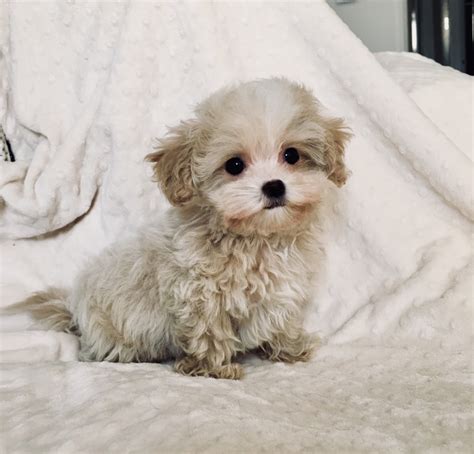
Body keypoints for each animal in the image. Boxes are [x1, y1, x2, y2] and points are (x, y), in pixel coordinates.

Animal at [12, 79, 350, 380]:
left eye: (291, 155)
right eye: (235, 165)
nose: (274, 186)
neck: (255, 239)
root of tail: (75, 309)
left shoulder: (281, 289)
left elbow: (281, 320)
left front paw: (290, 348)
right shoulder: (199, 293)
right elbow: (209, 331)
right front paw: (214, 369)